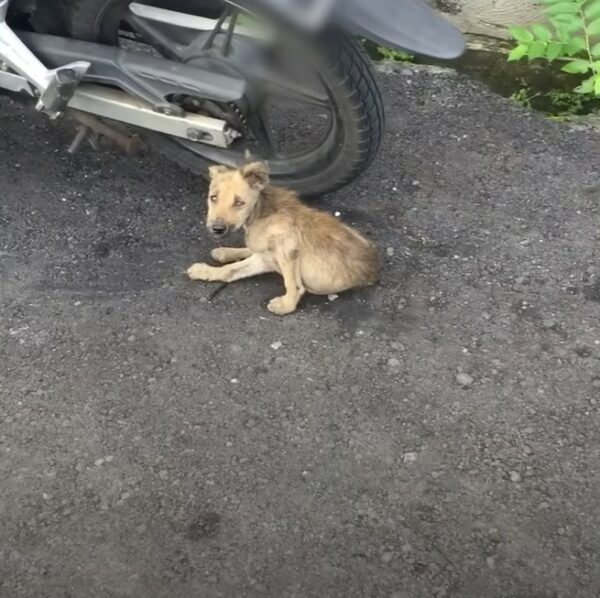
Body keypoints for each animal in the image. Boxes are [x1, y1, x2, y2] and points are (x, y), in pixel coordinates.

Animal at [186, 162, 380, 316]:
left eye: (239, 203)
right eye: (213, 198)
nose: (217, 229)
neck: (261, 212)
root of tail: (374, 269)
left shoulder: (287, 247)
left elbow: (292, 283)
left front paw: (287, 305)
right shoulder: (263, 258)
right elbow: (230, 270)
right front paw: (211, 266)